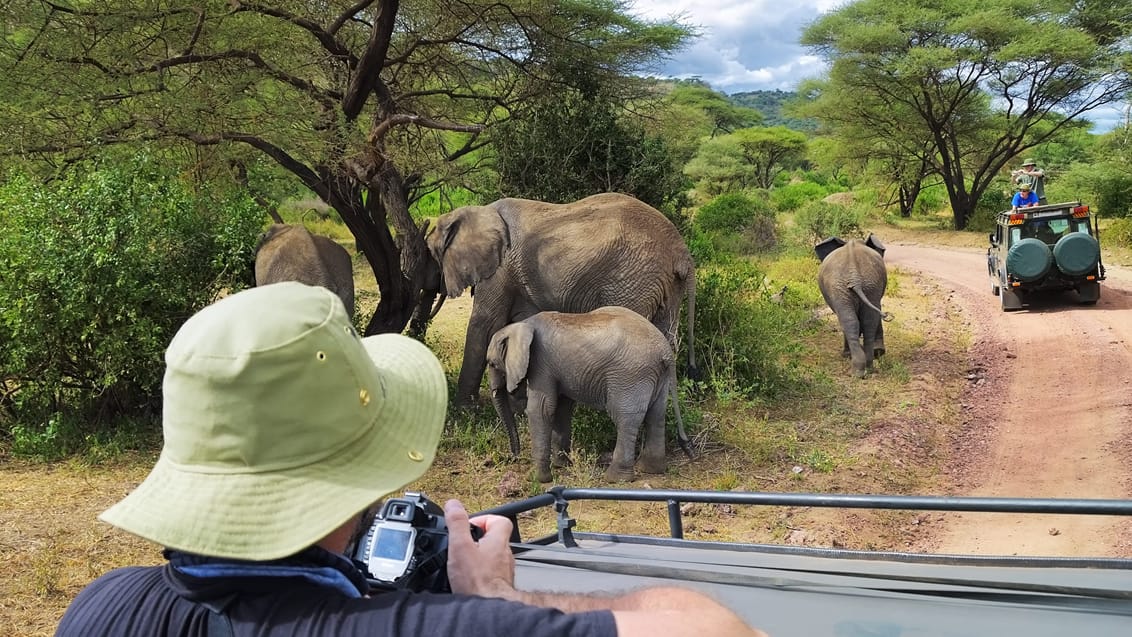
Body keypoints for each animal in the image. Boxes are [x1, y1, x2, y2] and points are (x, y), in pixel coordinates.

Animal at [430, 192, 697, 407]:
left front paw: (464, 409)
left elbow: (485, 325)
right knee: (666, 338)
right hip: (666, 285)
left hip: (632, 279)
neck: (478, 210)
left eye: (432, 253)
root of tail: (681, 251)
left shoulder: (500, 268)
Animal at [484, 307, 688, 484]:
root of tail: (666, 351)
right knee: (656, 415)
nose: (514, 457)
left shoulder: (540, 364)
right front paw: (561, 466)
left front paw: (537, 479)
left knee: (625, 419)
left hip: (631, 375)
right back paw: (650, 470)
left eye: (492, 363)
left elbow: (540, 410)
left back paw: (616, 479)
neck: (522, 325)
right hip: (657, 376)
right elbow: (561, 408)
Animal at [815, 234, 892, 377]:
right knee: (867, 321)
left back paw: (857, 370)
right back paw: (867, 367)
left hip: (846, 288)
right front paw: (878, 352)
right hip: (869, 285)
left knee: (849, 321)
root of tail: (854, 276)